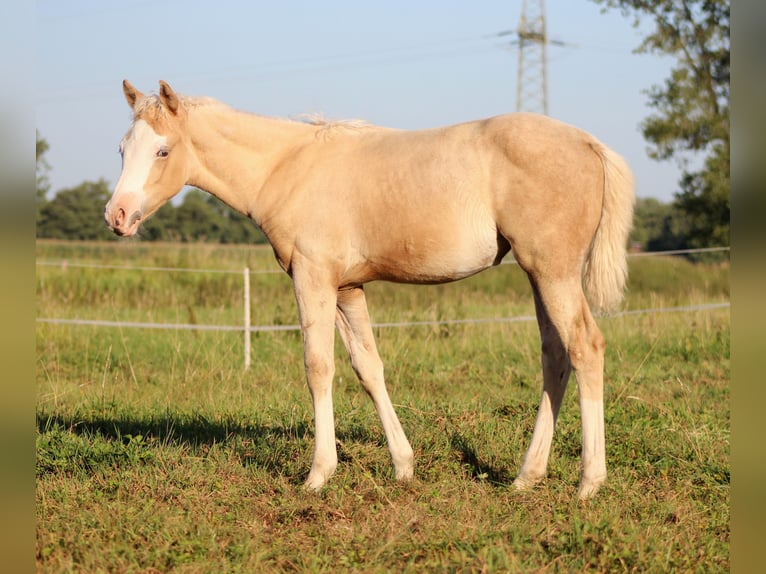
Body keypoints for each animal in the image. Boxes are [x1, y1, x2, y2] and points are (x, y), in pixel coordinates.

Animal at [105, 80, 634, 499]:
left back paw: (589, 482)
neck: (287, 168)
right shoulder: (348, 288)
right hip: (539, 275)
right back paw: (527, 476)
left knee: (585, 347)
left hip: (553, 273)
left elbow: (319, 368)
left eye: (163, 151)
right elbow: (368, 368)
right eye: (123, 149)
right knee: (555, 357)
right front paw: (403, 465)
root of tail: (590, 143)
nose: (117, 216)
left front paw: (318, 474)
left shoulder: (314, 279)